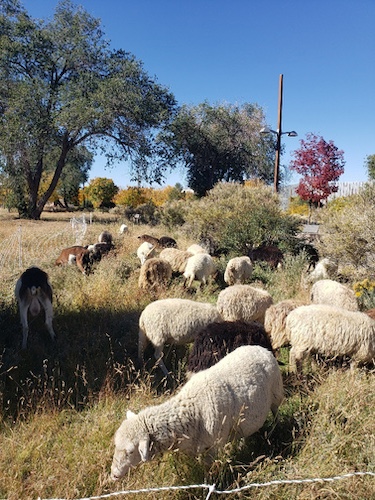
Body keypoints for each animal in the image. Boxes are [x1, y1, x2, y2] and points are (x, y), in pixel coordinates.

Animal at [110, 342, 284, 478]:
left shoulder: (213, 447)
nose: (114, 474)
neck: (191, 409)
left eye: (131, 451)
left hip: (276, 393)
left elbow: (209, 471)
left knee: (276, 413)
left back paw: (276, 430)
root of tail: (260, 348)